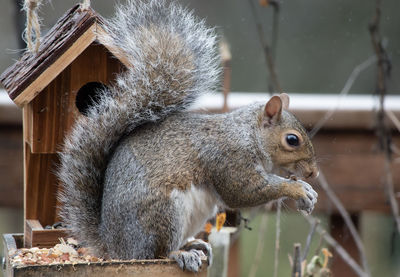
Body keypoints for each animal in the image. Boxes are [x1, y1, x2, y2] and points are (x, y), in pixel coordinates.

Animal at [57, 0, 318, 272]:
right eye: (292, 140)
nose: (313, 172)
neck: (248, 135)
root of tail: (114, 247)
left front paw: (307, 189)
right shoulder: (229, 158)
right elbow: (243, 191)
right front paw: (298, 189)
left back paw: (195, 245)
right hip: (162, 214)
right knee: (157, 253)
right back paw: (179, 254)